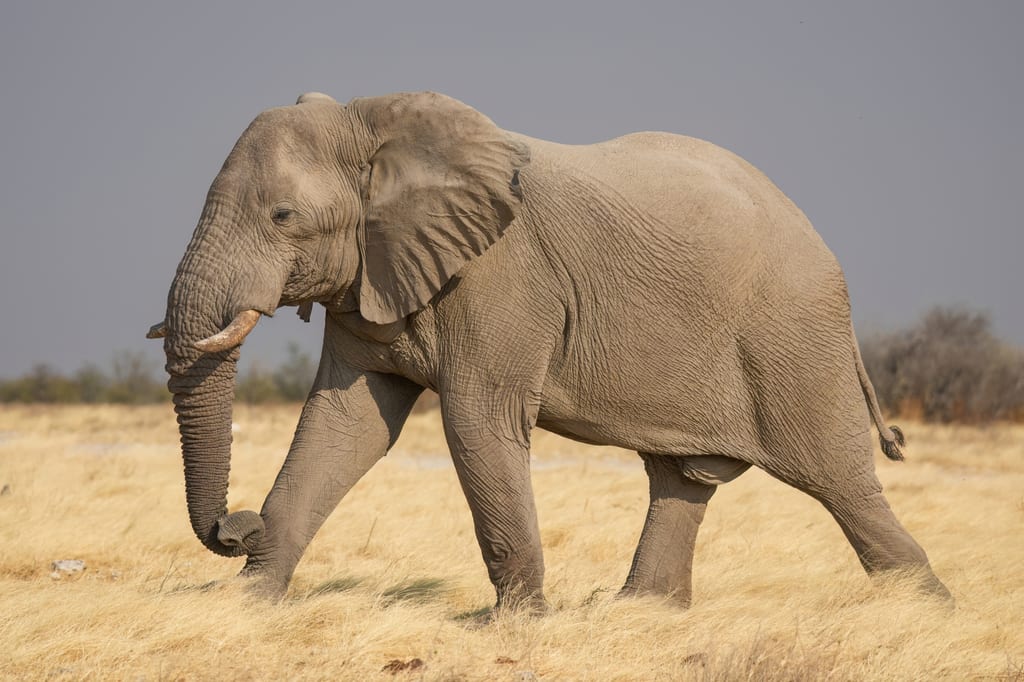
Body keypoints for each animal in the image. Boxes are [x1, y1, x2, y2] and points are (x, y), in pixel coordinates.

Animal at [148, 90, 950, 609]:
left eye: (283, 216)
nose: (235, 526)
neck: (377, 121)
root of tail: (820, 241)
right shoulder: (372, 274)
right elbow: (345, 426)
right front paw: (247, 609)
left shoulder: (502, 277)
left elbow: (476, 423)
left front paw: (514, 626)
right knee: (683, 477)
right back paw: (639, 615)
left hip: (792, 337)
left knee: (838, 481)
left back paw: (925, 611)